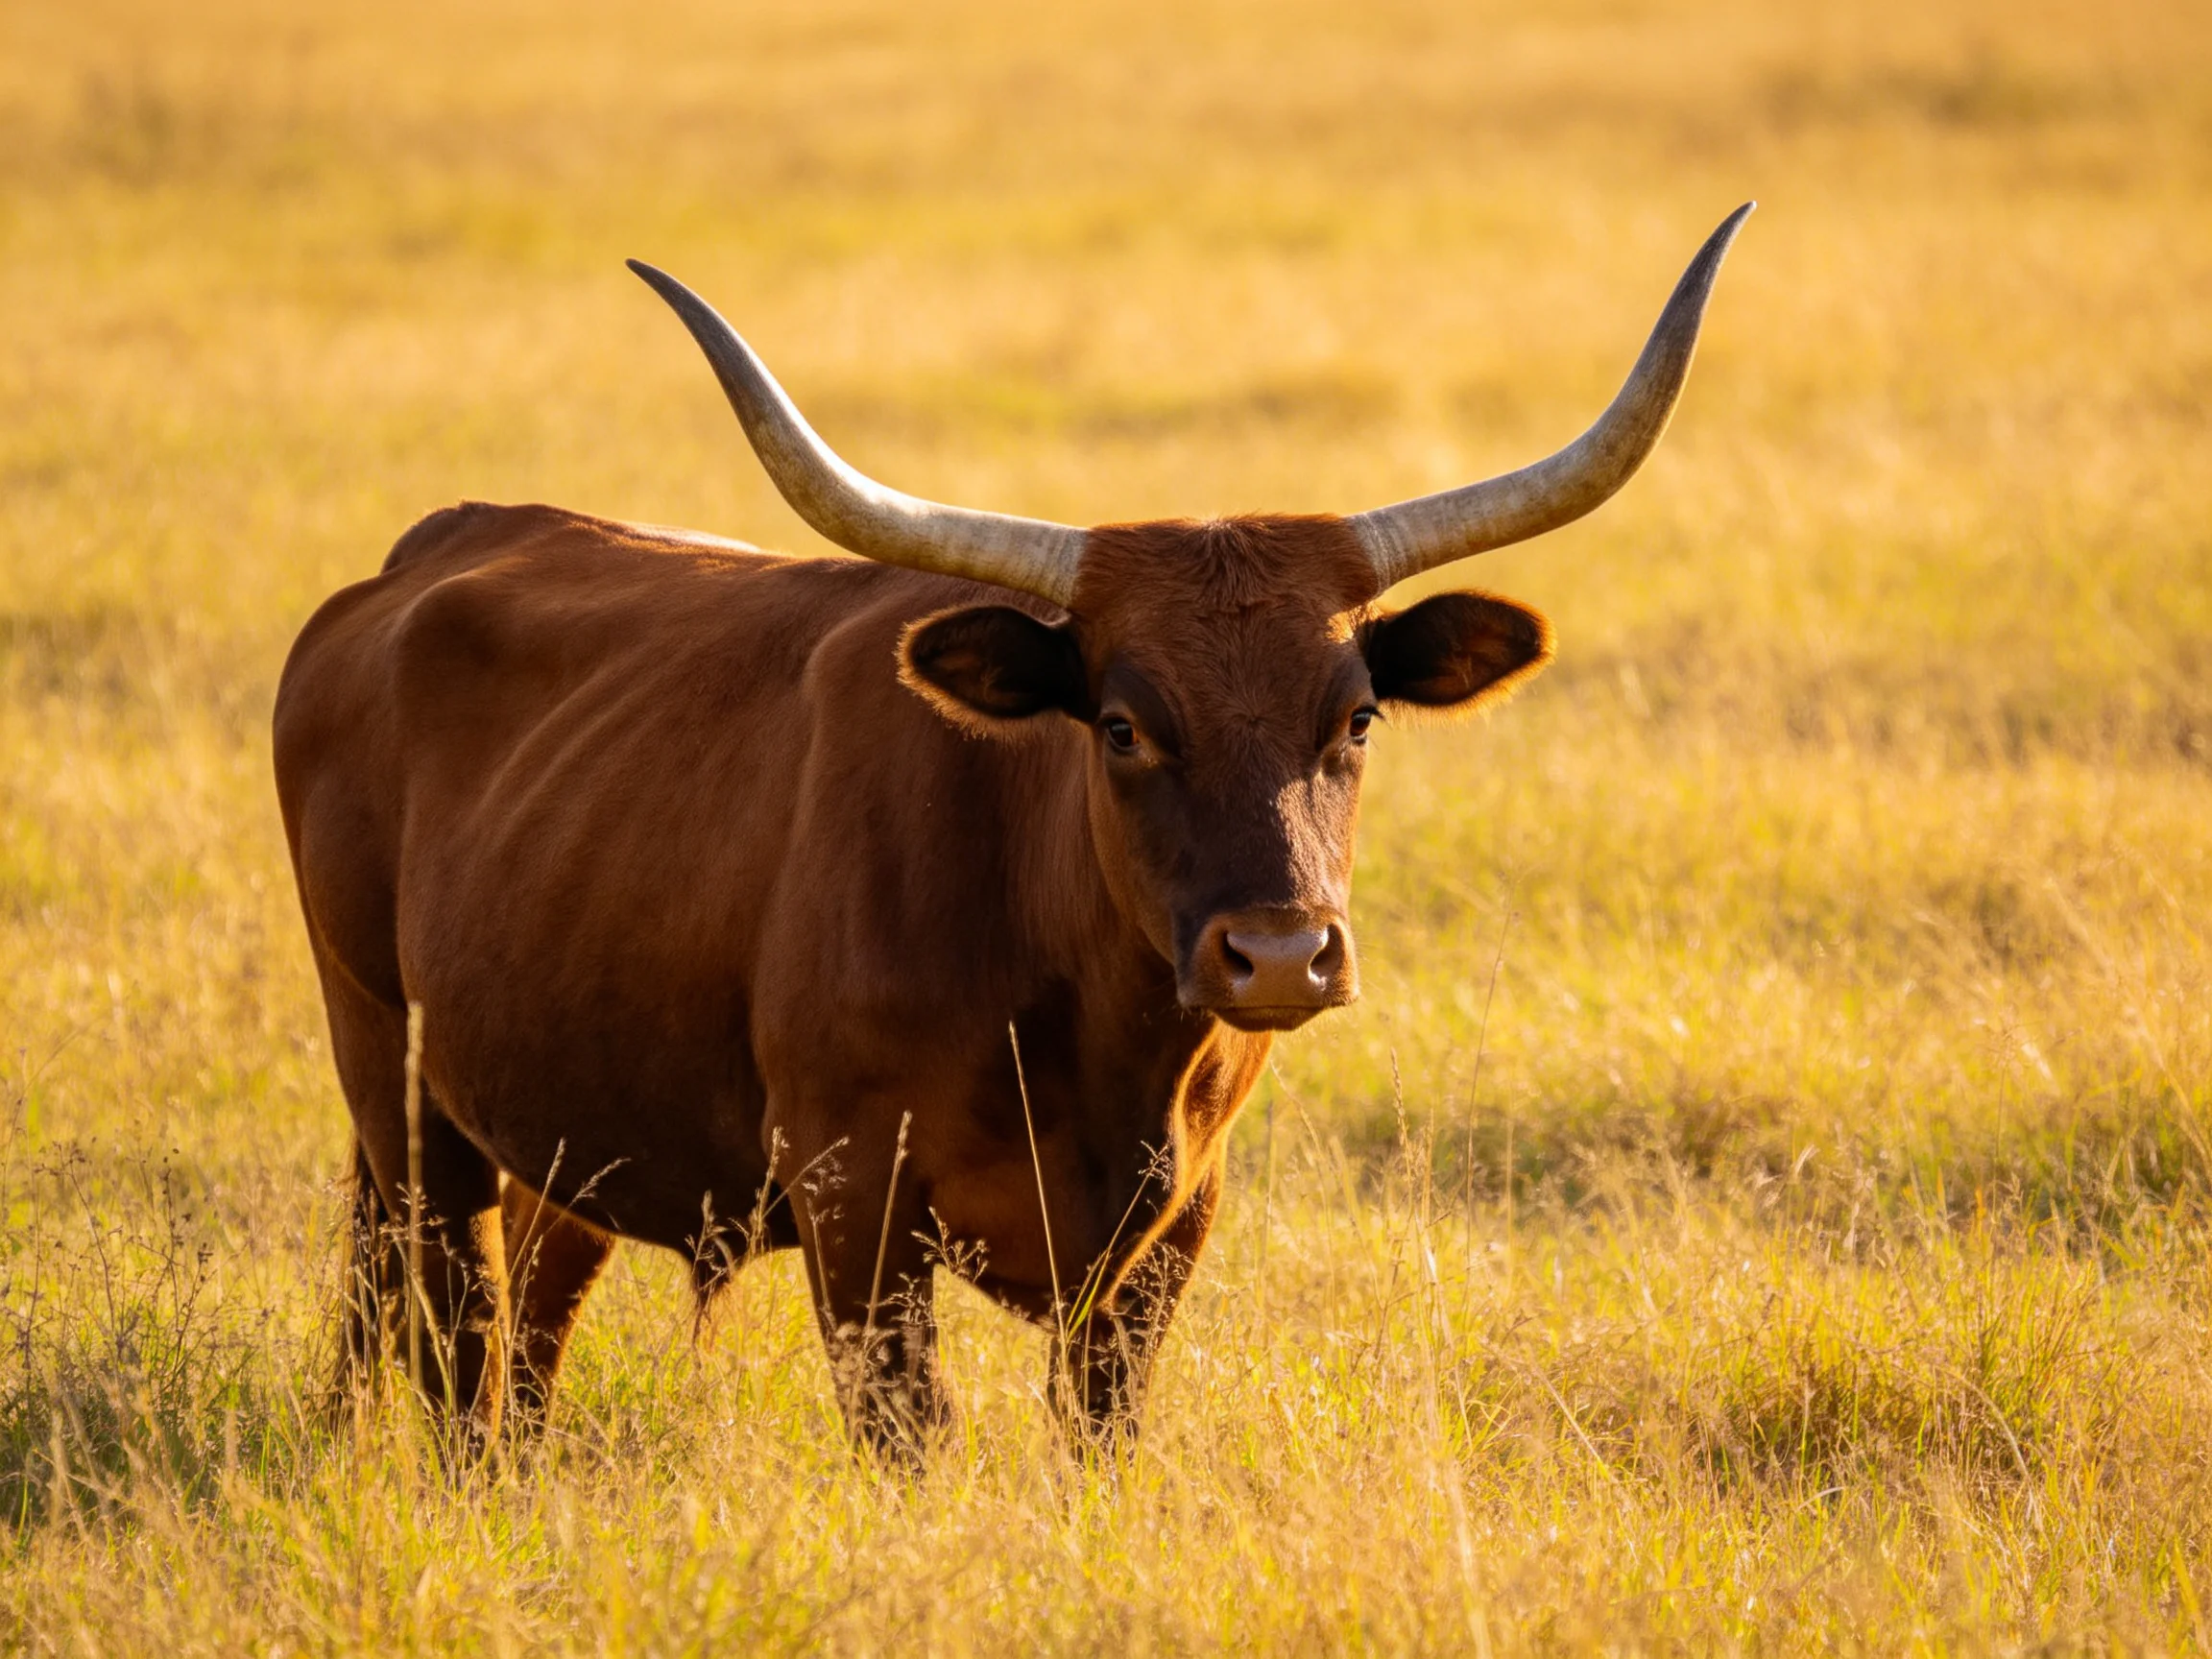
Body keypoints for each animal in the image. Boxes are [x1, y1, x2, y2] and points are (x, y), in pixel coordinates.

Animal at [274, 205, 1750, 1459]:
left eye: (1359, 719)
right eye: (1122, 725)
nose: (1280, 956)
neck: (1091, 1036)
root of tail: (433, 549)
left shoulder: (1171, 1227)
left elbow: (1101, 1430)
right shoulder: (855, 1203)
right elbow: (909, 1435)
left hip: (550, 1116)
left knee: (522, 1319)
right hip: (390, 1071)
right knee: (448, 1333)